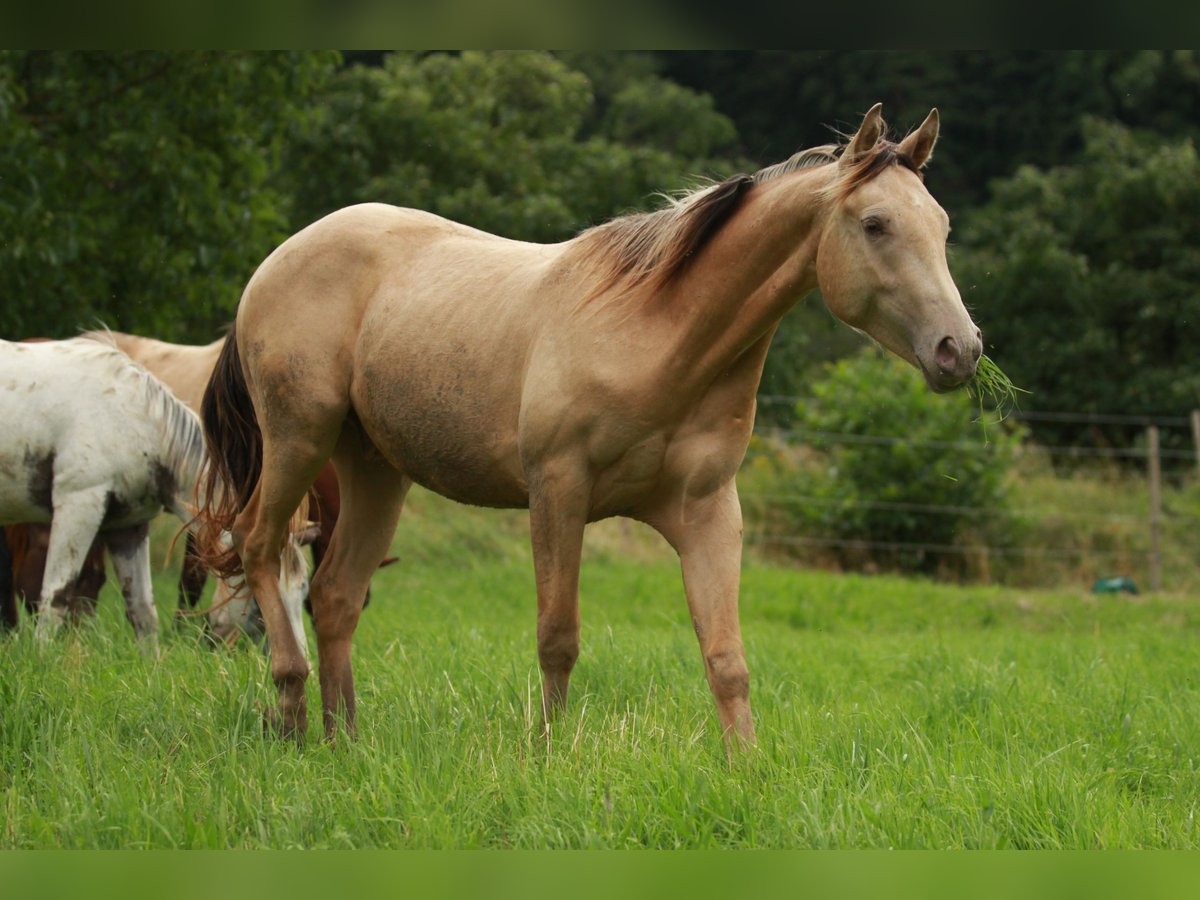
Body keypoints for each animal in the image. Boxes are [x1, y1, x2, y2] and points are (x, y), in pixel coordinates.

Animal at [0, 340, 314, 657]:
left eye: (302, 589)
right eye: (260, 589)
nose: (304, 661)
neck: (132, 419)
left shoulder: (128, 528)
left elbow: (143, 611)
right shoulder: (78, 506)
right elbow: (57, 596)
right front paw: (42, 658)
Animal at [199, 103, 984, 748]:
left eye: (943, 227)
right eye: (875, 224)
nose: (960, 349)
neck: (657, 336)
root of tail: (275, 262)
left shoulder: (708, 512)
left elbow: (726, 658)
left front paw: (748, 770)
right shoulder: (558, 493)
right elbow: (558, 638)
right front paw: (549, 755)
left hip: (374, 470)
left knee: (335, 596)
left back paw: (346, 742)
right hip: (299, 439)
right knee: (260, 546)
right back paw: (292, 710)